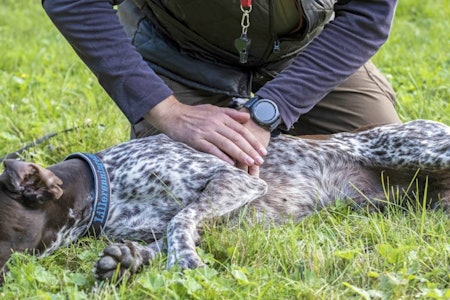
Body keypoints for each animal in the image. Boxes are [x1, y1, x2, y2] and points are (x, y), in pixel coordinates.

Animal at [0, 119, 448, 282]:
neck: (104, 182)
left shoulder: (233, 180)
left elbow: (181, 220)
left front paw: (186, 262)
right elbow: (165, 236)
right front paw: (127, 260)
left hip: (417, 149)